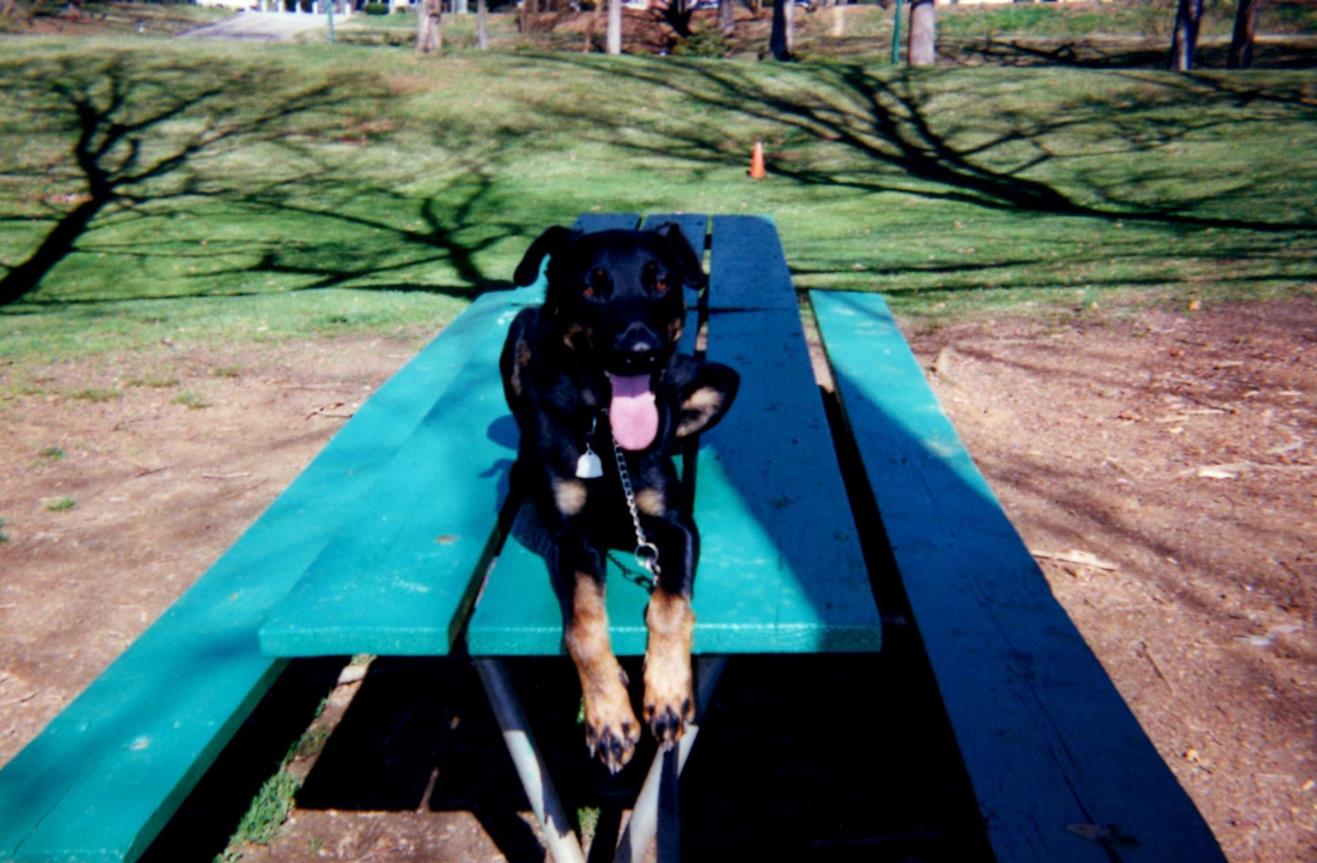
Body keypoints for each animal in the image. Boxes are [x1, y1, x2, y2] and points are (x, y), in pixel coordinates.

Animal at [497, 223, 737, 774]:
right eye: (590, 286)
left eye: (660, 281)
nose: (639, 351)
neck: (608, 436)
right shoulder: (572, 537)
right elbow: (583, 627)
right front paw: (608, 716)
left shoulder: (676, 525)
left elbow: (670, 606)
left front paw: (667, 693)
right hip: (518, 331)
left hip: (718, 375)